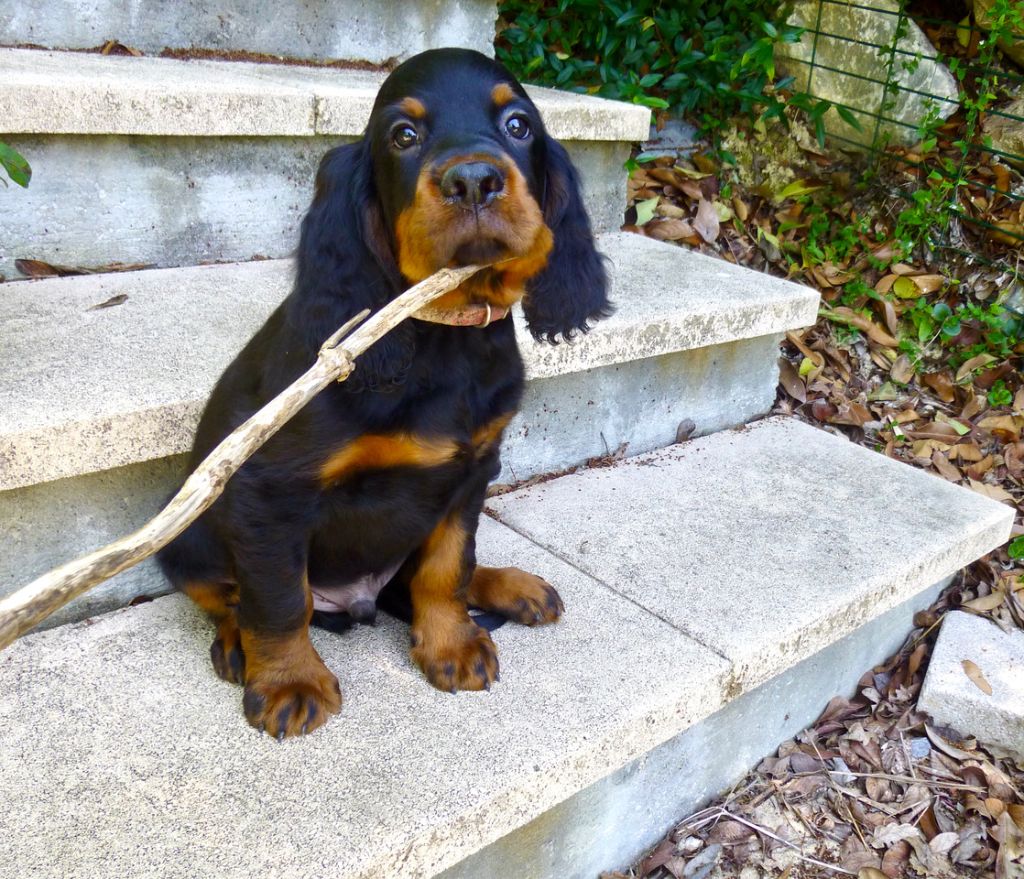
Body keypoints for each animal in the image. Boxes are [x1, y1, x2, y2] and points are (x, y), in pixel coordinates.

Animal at [156, 46, 606, 733]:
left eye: (519, 126)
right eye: (403, 136)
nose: (474, 181)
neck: (442, 332)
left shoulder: (472, 470)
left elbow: (448, 566)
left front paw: (452, 645)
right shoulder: (269, 490)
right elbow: (278, 598)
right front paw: (290, 681)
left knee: (419, 576)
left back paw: (510, 586)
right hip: (187, 537)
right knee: (233, 595)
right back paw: (237, 644)